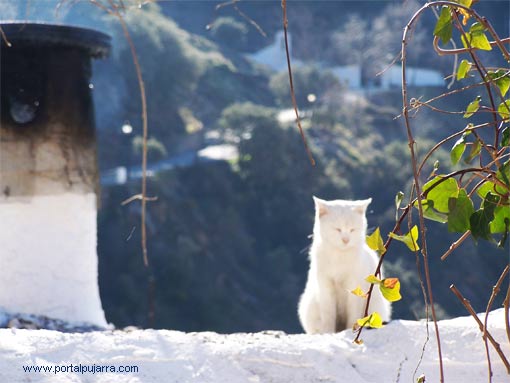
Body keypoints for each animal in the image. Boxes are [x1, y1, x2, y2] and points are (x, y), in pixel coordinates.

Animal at [296, 198, 392, 332]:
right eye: (337, 229)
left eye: (352, 229)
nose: (345, 240)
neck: (339, 256)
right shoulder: (326, 286)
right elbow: (328, 313)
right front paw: (328, 332)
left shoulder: (354, 285)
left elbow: (353, 312)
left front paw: (352, 328)